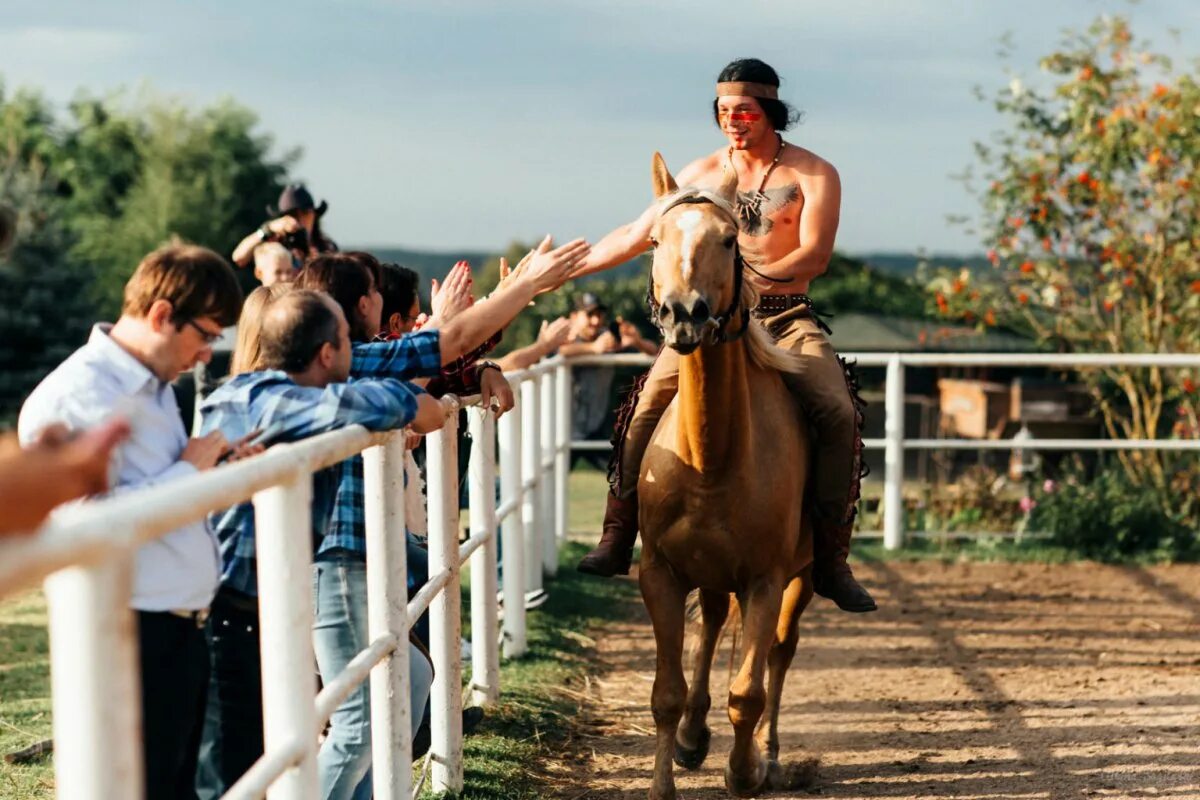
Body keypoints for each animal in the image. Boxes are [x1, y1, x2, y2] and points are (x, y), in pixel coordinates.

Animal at [638, 153, 816, 796]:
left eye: (728, 240)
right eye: (655, 240)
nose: (684, 315)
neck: (711, 459)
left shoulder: (766, 580)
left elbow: (749, 692)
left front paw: (744, 772)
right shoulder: (660, 574)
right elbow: (665, 695)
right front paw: (666, 777)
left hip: (802, 578)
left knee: (781, 653)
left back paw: (772, 755)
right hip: (711, 573)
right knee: (713, 623)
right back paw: (694, 737)